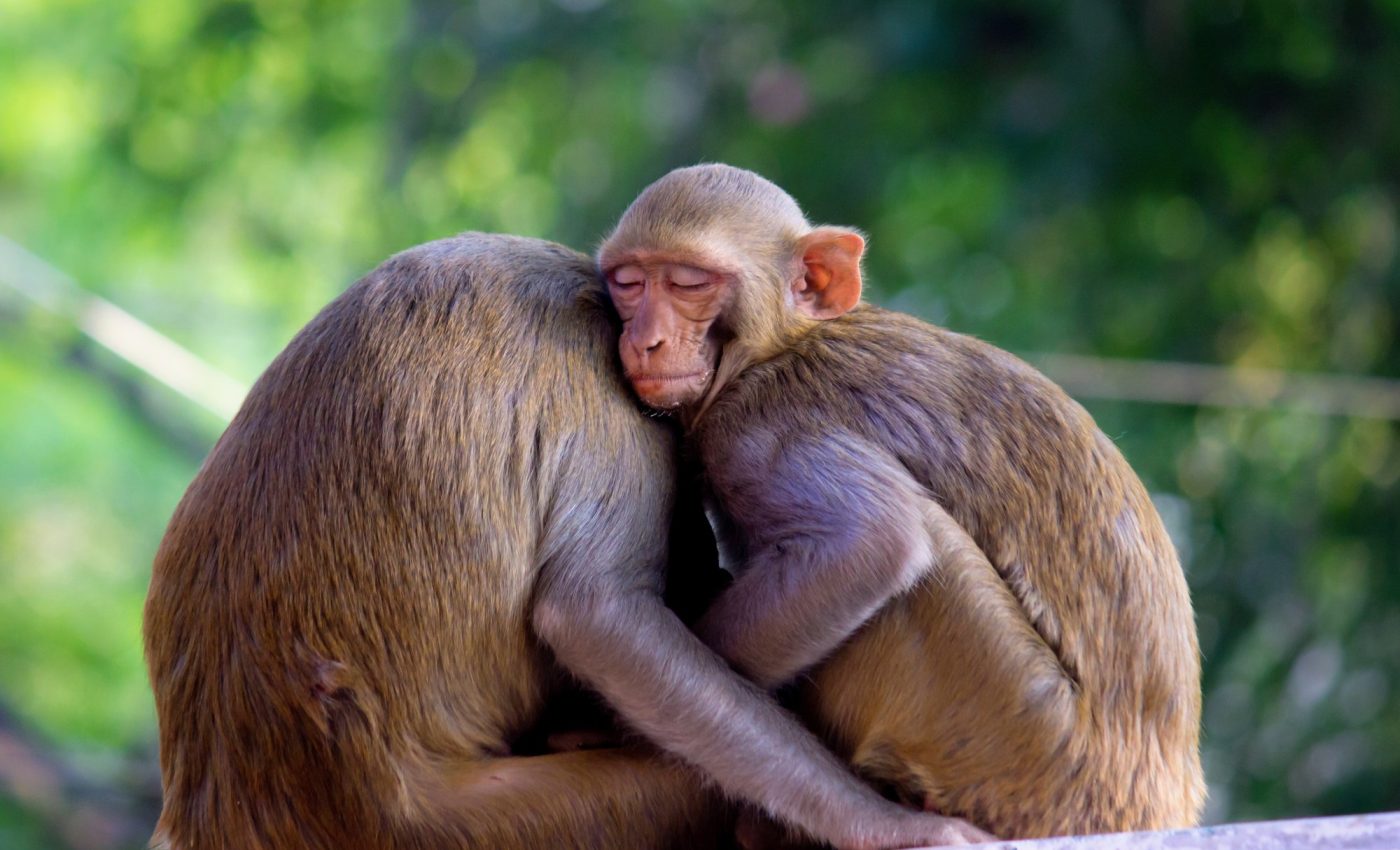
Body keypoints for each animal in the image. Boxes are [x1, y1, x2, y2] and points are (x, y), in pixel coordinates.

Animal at [597, 164, 1207, 842]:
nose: (646, 340)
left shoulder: (757, 429)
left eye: (688, 283)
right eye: (628, 283)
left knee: (921, 545)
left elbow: (871, 543)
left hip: (1025, 740)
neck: (778, 346)